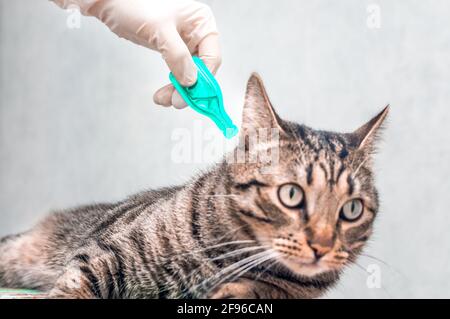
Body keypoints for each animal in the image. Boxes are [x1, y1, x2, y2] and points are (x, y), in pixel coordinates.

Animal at [0, 74, 386, 300]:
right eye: (291, 195)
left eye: (351, 210)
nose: (322, 246)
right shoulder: (106, 252)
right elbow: (75, 287)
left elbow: (259, 290)